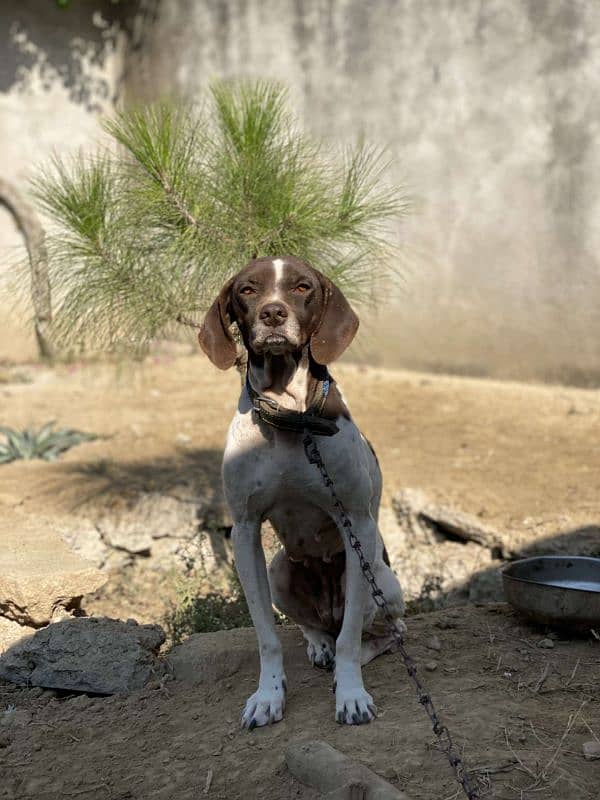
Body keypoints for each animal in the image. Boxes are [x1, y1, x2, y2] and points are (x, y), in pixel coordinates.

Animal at [199, 258, 406, 732]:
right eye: (248, 289)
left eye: (301, 287)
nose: (273, 313)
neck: (291, 418)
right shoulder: (245, 532)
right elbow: (267, 638)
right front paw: (267, 697)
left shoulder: (357, 524)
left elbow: (351, 641)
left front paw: (351, 695)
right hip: (279, 570)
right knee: (316, 628)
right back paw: (318, 645)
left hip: (380, 581)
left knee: (379, 633)